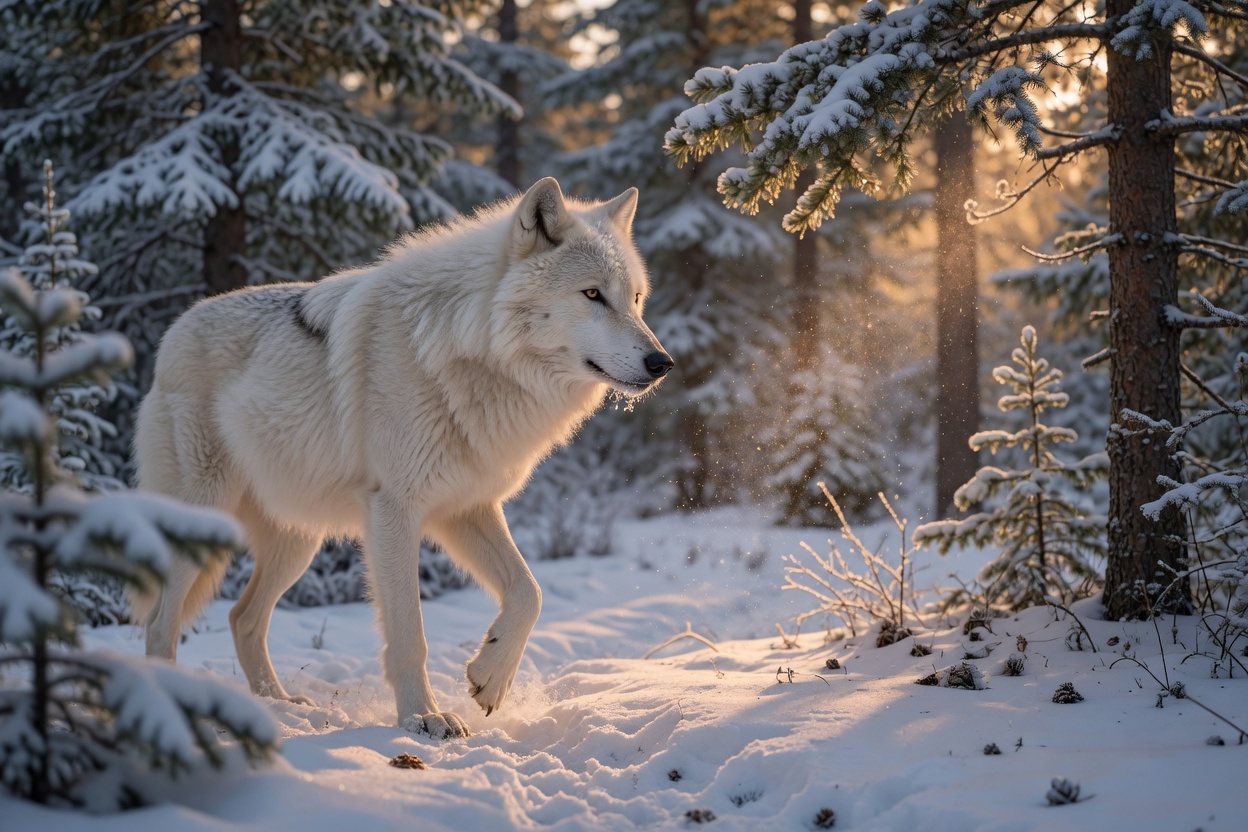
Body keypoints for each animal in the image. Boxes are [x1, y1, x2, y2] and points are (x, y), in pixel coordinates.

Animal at [133, 178, 672, 738]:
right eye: (592, 295)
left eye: (635, 299)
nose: (663, 363)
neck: (468, 348)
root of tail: (174, 331)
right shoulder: (395, 510)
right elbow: (411, 632)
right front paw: (422, 717)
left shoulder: (467, 509)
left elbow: (530, 592)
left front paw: (490, 678)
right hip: (203, 522)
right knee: (160, 621)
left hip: (298, 542)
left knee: (242, 618)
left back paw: (279, 704)